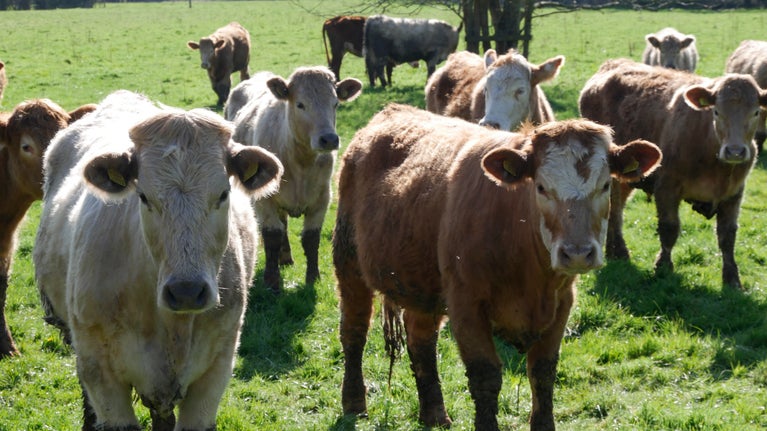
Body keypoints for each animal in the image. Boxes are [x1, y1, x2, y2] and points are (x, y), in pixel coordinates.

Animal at [225, 67, 362, 293]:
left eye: (335, 103)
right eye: (300, 104)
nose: (329, 139)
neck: (301, 162)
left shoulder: (322, 198)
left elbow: (311, 238)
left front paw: (313, 278)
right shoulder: (265, 200)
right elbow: (272, 235)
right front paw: (272, 282)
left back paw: (286, 257)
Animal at [333, 103, 661, 430]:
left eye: (605, 186)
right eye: (541, 187)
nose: (578, 253)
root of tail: (391, 112)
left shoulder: (562, 304)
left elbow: (542, 373)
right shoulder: (466, 306)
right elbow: (485, 376)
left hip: (421, 283)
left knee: (420, 337)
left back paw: (434, 414)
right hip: (348, 263)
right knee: (354, 331)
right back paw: (354, 403)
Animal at [579, 58, 767, 289]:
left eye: (756, 112)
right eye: (716, 112)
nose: (735, 151)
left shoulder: (734, 195)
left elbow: (727, 236)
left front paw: (732, 278)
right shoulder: (667, 187)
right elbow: (669, 228)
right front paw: (663, 266)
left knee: (617, 208)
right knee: (614, 211)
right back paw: (620, 251)